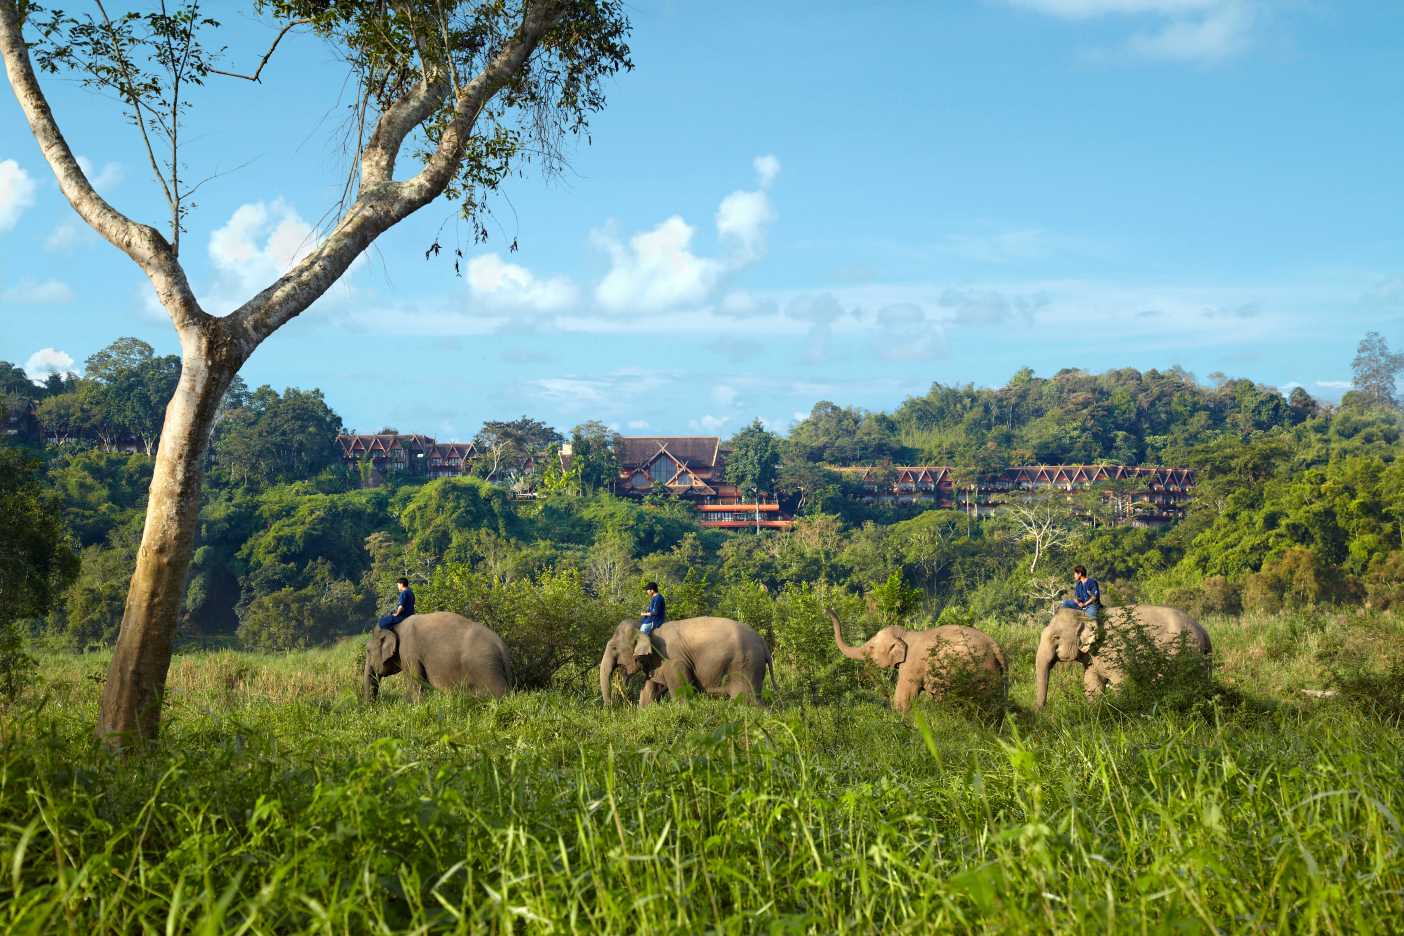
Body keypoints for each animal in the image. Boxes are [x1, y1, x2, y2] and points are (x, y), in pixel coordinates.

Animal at [365, 614, 513, 701]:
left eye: (367, 650)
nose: (372, 706)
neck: (397, 626)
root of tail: (502, 647)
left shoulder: (409, 652)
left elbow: (416, 682)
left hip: (485, 668)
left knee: (500, 693)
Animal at [598, 617, 780, 707]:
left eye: (613, 647)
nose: (610, 707)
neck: (646, 628)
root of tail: (763, 642)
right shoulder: (657, 664)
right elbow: (649, 692)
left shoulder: (673, 661)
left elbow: (681, 692)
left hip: (746, 665)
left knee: (747, 700)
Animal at [825, 609, 1005, 710]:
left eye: (871, 648)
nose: (825, 609)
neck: (906, 635)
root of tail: (996, 646)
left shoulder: (911, 666)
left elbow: (904, 695)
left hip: (981, 670)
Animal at [1033, 600, 1218, 710]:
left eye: (1056, 638)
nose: (1041, 712)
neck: (1085, 615)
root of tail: (1202, 629)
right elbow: (1091, 683)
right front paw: (1095, 712)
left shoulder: (1117, 651)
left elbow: (1123, 682)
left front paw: (1121, 708)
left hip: (1183, 652)